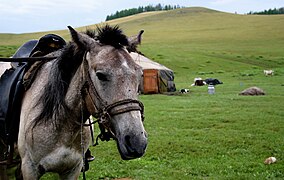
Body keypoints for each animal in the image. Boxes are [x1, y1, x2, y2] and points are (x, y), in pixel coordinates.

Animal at [1, 25, 149, 179]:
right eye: (100, 75)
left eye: (140, 74)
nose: (136, 142)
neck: (61, 124)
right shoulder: (30, 169)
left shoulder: (73, 169)